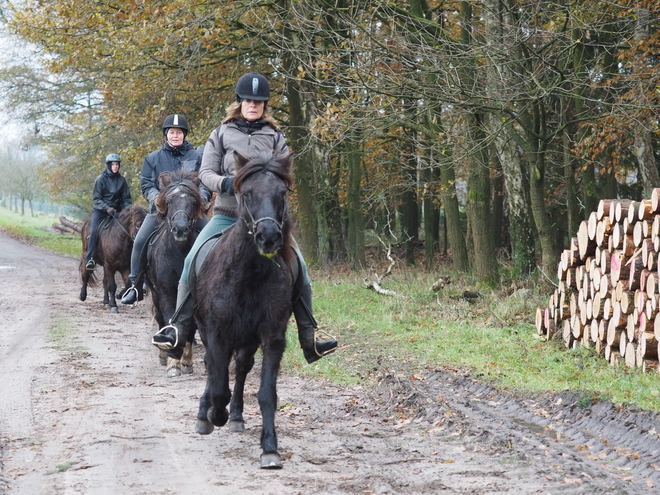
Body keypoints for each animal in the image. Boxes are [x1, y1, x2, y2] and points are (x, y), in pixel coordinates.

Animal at [146, 169, 204, 378]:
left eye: (193, 202)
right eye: (169, 201)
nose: (180, 229)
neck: (180, 251)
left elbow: (190, 325)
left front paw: (185, 360)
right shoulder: (166, 292)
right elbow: (170, 317)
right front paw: (172, 362)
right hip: (154, 294)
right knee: (160, 318)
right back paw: (163, 355)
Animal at [191, 151, 294, 468]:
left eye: (282, 193)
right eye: (246, 193)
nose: (268, 237)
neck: (250, 275)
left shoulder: (272, 337)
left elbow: (267, 394)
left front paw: (270, 448)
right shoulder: (216, 334)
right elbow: (218, 385)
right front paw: (214, 415)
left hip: (247, 340)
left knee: (241, 367)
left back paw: (235, 415)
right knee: (214, 370)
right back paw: (206, 414)